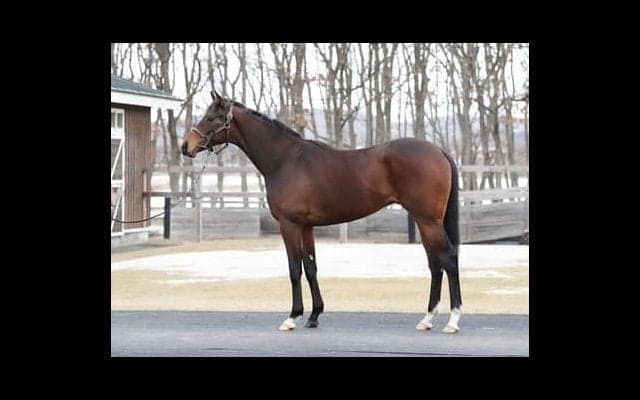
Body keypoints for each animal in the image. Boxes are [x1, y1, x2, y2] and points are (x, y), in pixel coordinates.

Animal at [181, 91, 462, 333]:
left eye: (211, 117)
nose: (186, 146)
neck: (286, 160)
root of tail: (439, 151)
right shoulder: (306, 226)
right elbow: (310, 267)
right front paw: (314, 315)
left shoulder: (289, 225)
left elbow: (294, 269)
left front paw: (292, 316)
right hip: (423, 221)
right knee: (435, 263)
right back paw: (427, 318)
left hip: (428, 221)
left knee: (448, 258)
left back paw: (453, 319)